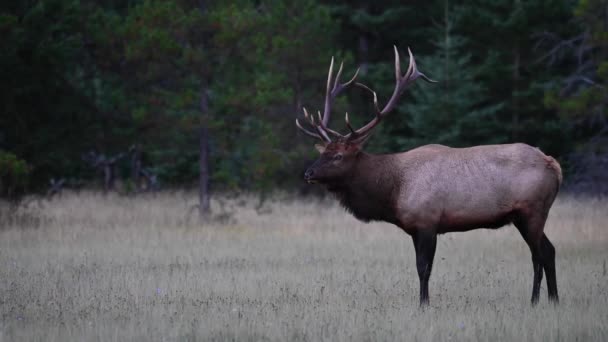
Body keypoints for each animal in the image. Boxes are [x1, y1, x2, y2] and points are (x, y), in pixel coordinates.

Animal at [296, 46, 564, 306]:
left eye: (338, 156)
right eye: (323, 152)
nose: (308, 173)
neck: (393, 191)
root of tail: (554, 165)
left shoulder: (427, 221)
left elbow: (423, 268)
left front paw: (423, 304)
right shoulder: (415, 228)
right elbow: (423, 267)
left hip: (532, 210)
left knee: (538, 255)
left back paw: (535, 301)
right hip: (524, 216)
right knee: (549, 251)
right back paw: (554, 300)